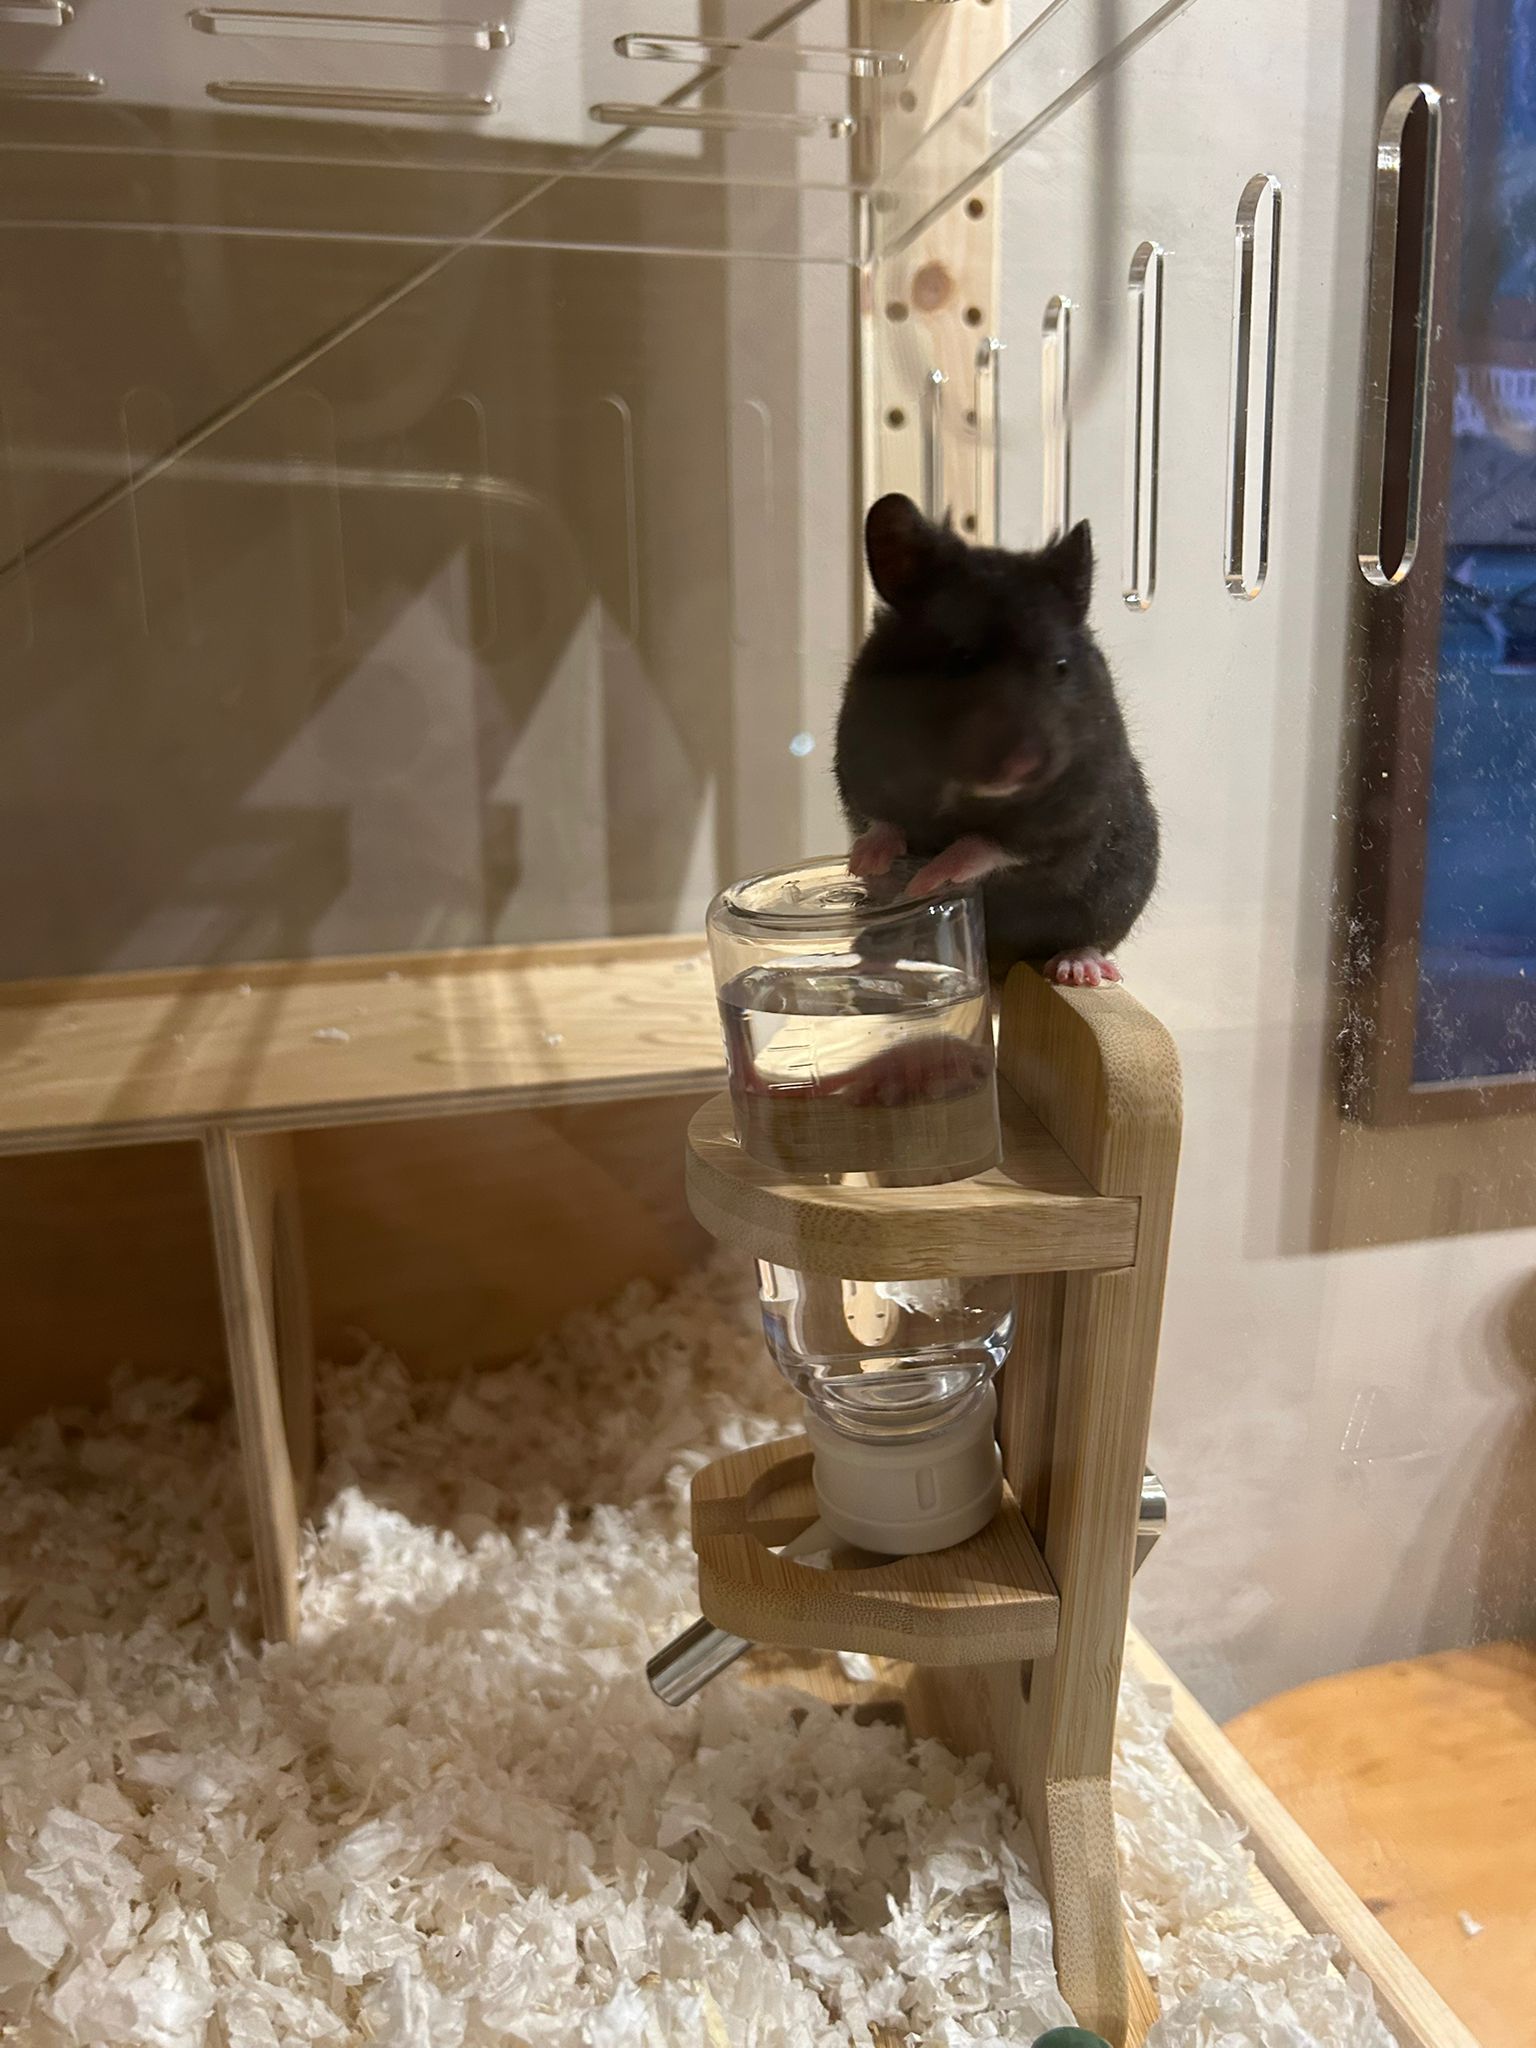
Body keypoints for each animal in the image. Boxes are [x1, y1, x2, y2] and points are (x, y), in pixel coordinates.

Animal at [834, 493, 1159, 987]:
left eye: (1061, 667)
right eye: (959, 658)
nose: (1020, 766)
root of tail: (1001, 967)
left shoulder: (1070, 813)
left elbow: (988, 844)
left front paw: (927, 879)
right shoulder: (857, 767)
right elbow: (882, 819)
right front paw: (866, 863)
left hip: (1114, 900)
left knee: (1089, 938)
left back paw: (1077, 969)